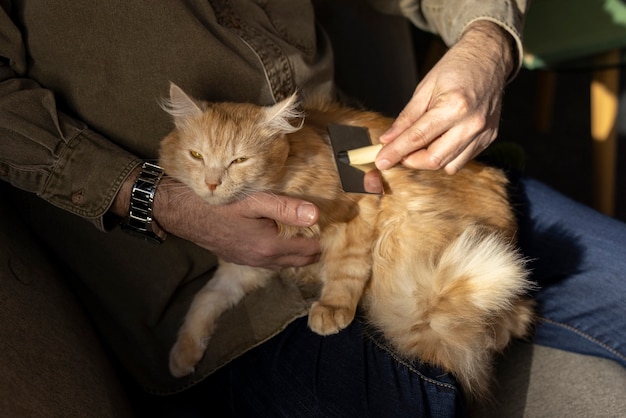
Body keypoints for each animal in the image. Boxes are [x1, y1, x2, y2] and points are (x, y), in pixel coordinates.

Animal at [156, 84, 532, 398]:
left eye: (239, 160)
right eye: (196, 156)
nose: (212, 183)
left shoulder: (358, 210)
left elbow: (345, 269)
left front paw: (332, 309)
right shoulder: (246, 265)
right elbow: (205, 300)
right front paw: (181, 355)